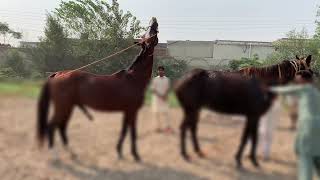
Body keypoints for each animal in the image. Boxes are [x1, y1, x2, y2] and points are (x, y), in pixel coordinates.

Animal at [37, 17, 159, 160]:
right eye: (149, 33)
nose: (154, 19)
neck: (134, 78)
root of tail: (58, 74)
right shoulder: (132, 111)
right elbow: (131, 132)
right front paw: (135, 155)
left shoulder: (128, 111)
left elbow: (125, 130)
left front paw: (120, 151)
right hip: (63, 107)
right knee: (52, 127)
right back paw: (55, 156)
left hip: (68, 107)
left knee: (61, 127)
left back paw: (72, 153)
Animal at [175, 54, 312, 169]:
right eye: (308, 72)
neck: (262, 83)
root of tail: (182, 80)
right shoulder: (253, 116)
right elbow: (250, 137)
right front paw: (248, 161)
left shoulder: (253, 116)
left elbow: (249, 136)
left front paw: (244, 159)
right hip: (191, 109)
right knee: (184, 128)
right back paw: (185, 154)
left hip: (194, 109)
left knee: (192, 128)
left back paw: (198, 152)